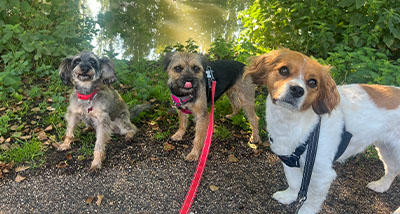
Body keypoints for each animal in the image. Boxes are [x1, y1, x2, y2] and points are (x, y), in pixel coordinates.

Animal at [244, 49, 400, 213]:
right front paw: (289, 196)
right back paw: (381, 185)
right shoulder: (288, 159)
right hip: (386, 148)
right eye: (284, 70)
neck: (292, 122)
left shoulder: (321, 174)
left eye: (313, 82)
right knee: (392, 169)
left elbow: (311, 199)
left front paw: (305, 210)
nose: (297, 90)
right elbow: (293, 182)